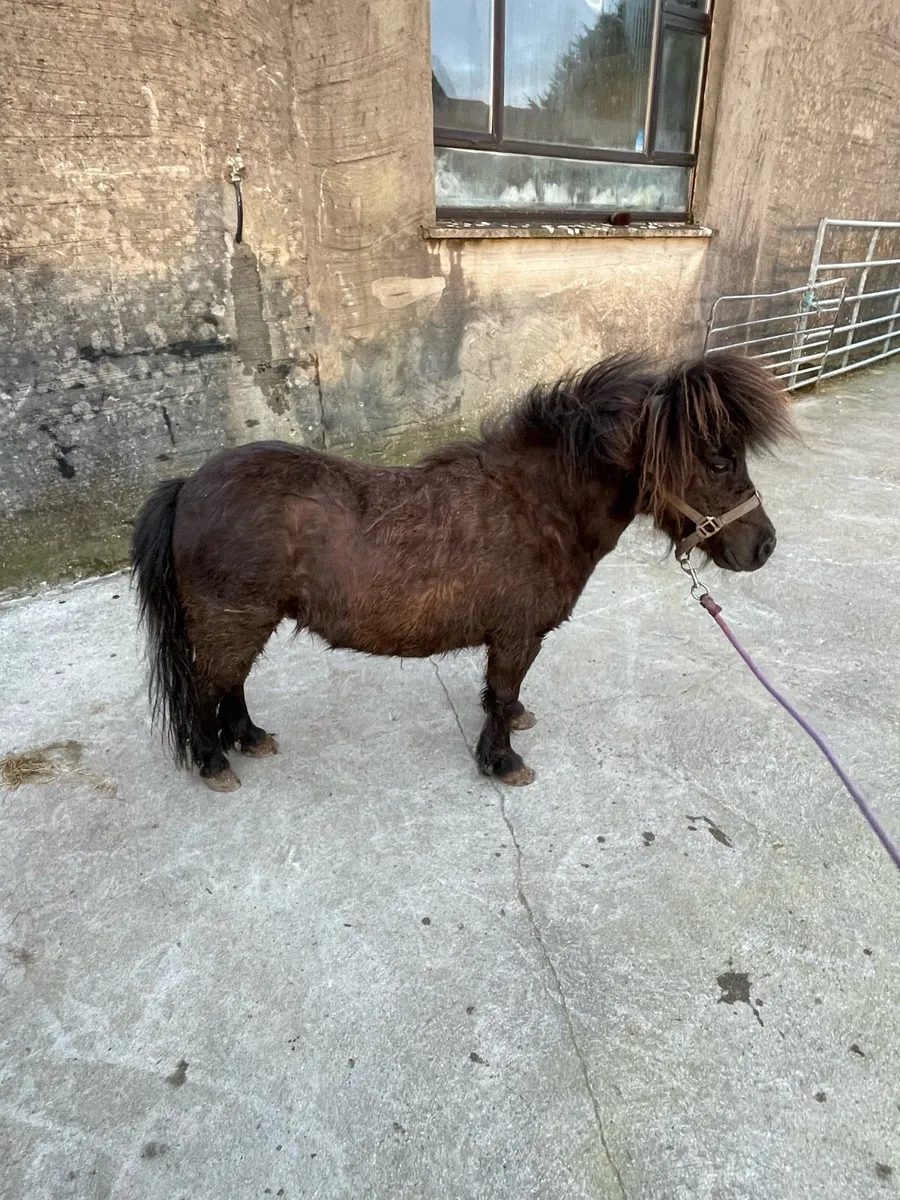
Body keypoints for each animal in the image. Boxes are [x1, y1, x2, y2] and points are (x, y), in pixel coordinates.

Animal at [132, 352, 792, 792]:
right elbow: (501, 695)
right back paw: (214, 762)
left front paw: (513, 728)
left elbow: (505, 696)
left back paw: (248, 737)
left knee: (231, 684)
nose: (764, 546)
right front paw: (502, 762)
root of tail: (188, 485)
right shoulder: (517, 636)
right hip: (233, 620)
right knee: (208, 686)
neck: (538, 504)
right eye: (719, 460)